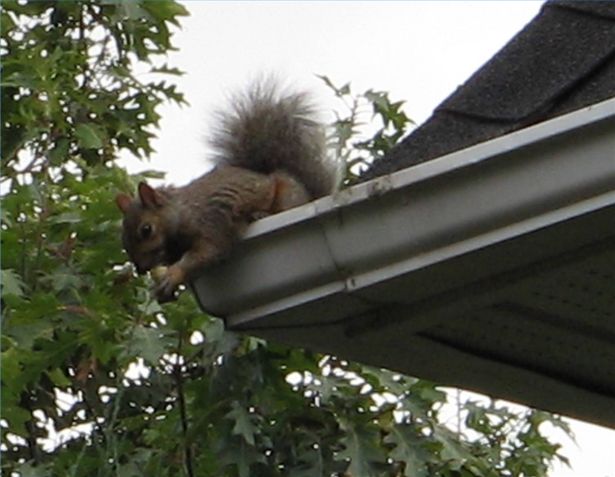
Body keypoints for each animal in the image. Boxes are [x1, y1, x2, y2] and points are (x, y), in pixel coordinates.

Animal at [117, 78, 340, 302]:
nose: (141, 269)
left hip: (287, 194)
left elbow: (208, 252)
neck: (182, 215)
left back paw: (260, 213)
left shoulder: (212, 221)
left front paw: (174, 275)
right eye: (123, 238)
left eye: (146, 230)